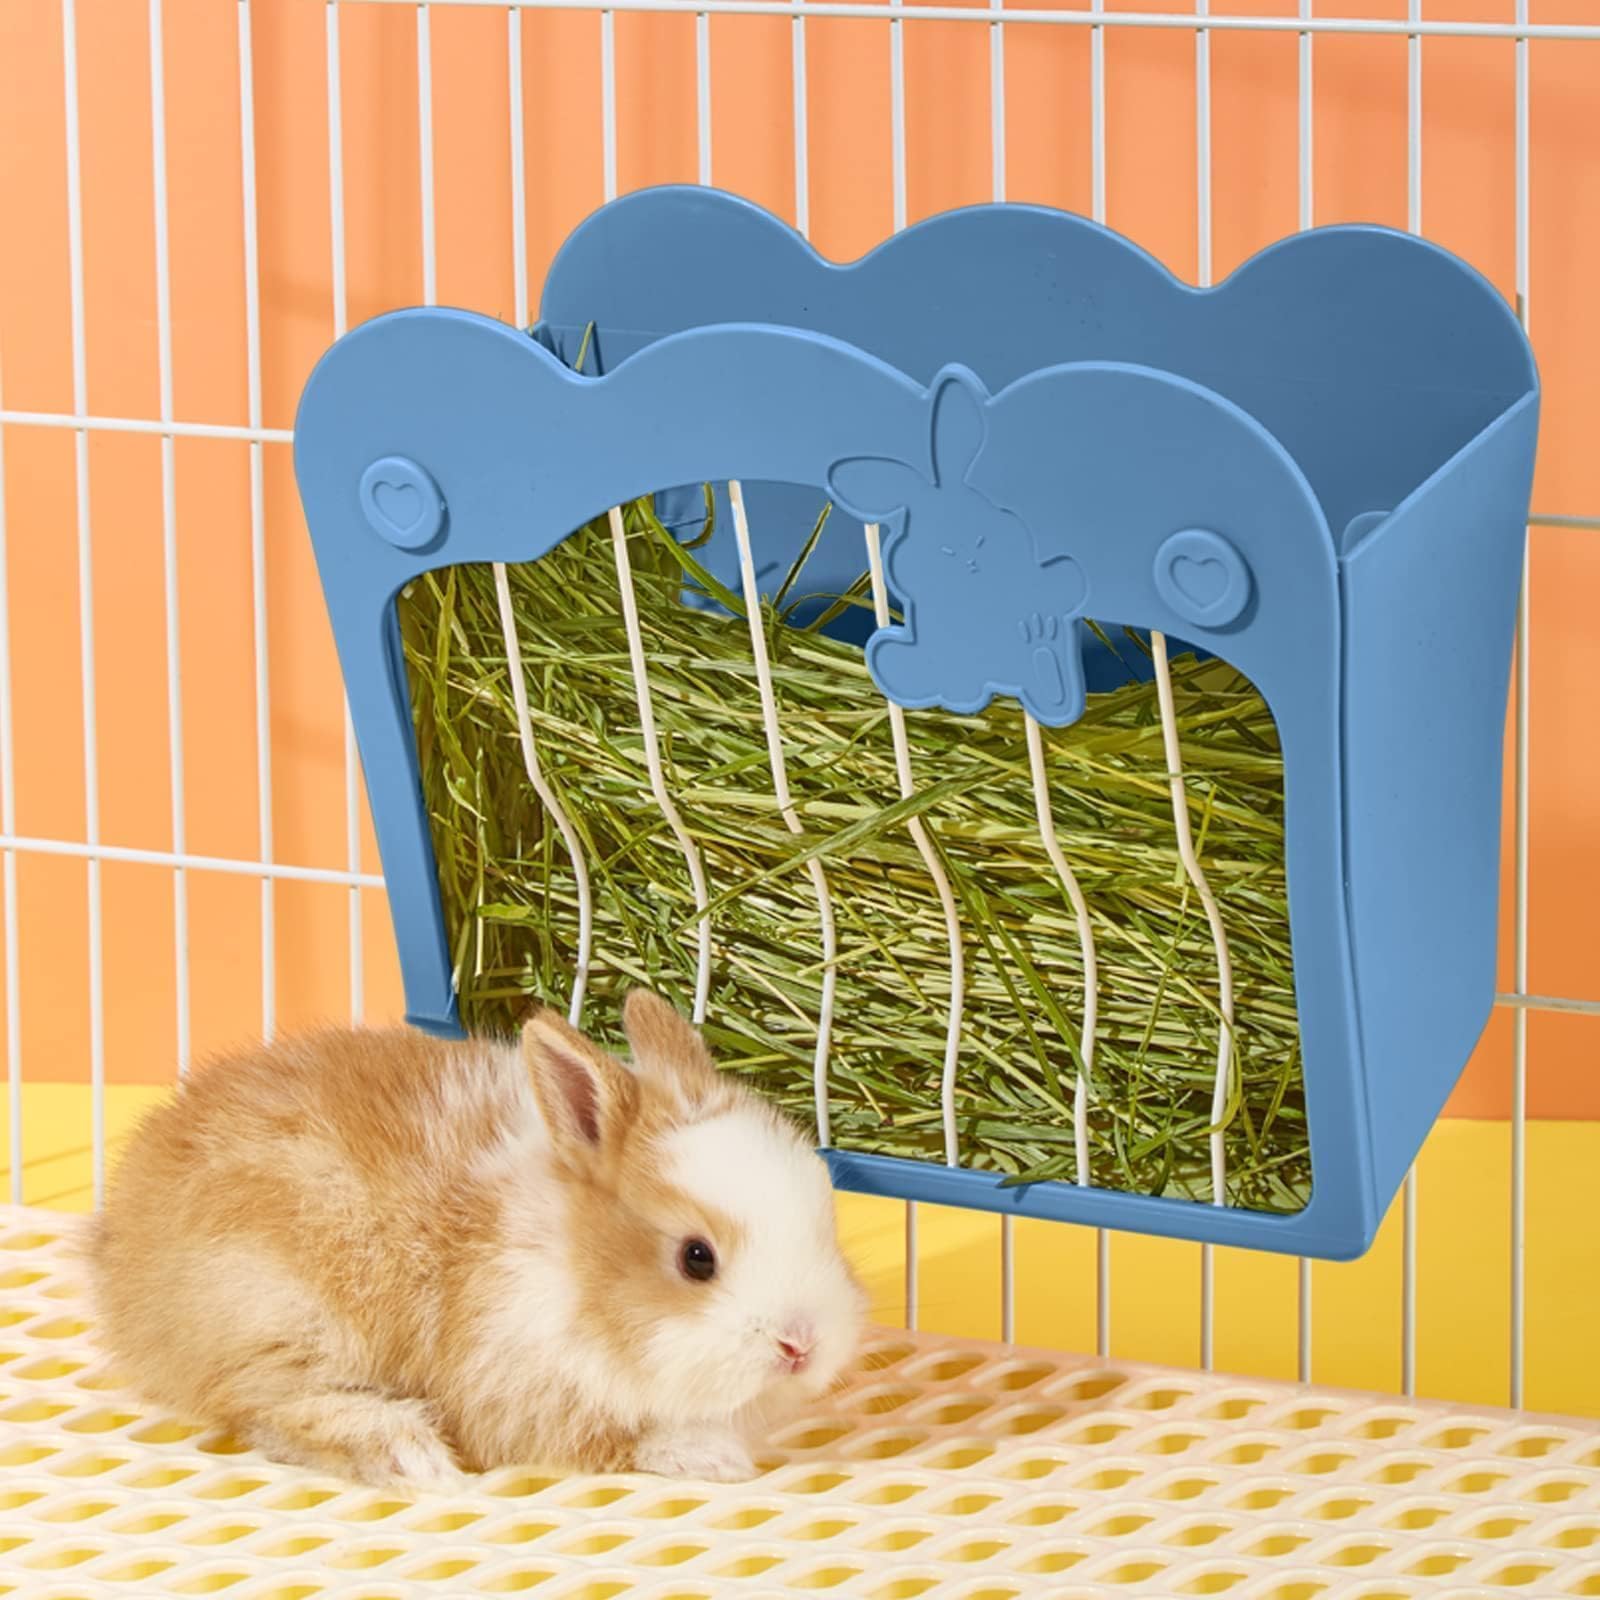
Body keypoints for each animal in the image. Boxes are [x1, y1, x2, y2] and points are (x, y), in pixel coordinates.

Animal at [87, 990, 868, 1490]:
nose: (802, 1347)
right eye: (696, 1258)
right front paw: (710, 1456)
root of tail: (120, 1251)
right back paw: (406, 1454)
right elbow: (610, 1439)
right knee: (266, 1408)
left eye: (825, 1223)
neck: (569, 1269)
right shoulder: (511, 1388)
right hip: (285, 1319)